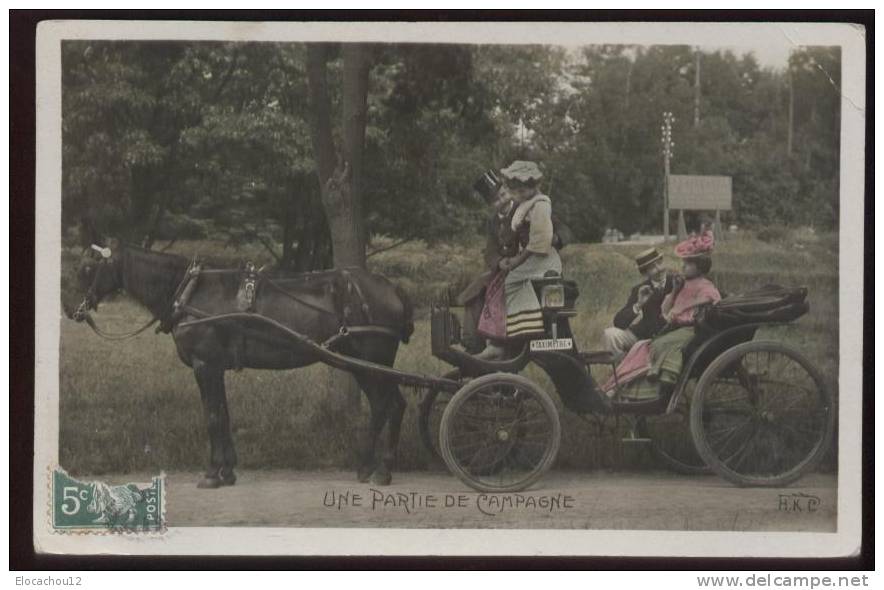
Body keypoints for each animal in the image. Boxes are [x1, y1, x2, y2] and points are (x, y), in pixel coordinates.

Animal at [68, 244, 414, 490]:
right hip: (362, 365)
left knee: (391, 404)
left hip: (373, 362)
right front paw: (227, 471)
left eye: (87, 268)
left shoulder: (204, 366)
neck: (191, 291)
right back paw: (369, 466)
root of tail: (391, 287)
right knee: (386, 405)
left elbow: (212, 418)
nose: (70, 309)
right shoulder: (215, 368)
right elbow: (224, 416)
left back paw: (382, 470)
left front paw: (212, 474)